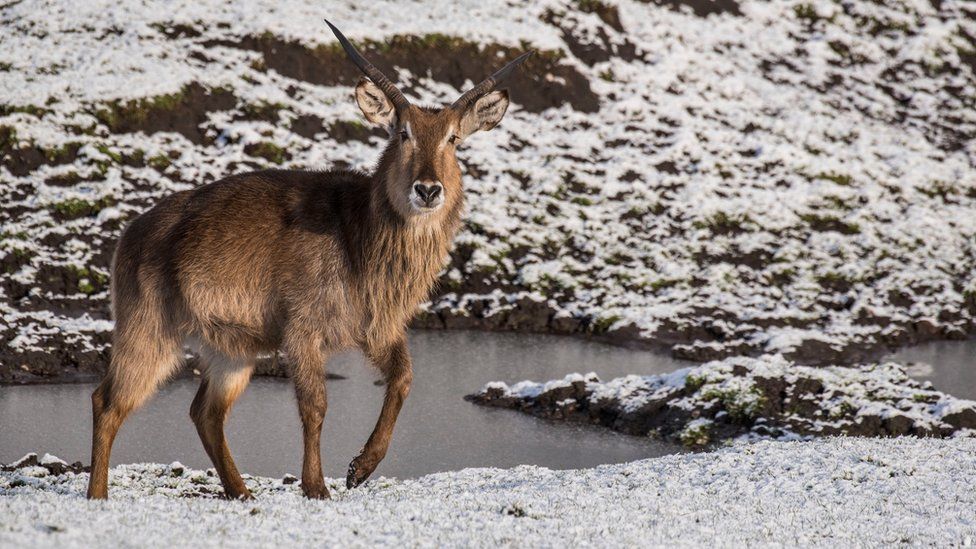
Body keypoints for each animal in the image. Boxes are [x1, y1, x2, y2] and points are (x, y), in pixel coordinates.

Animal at [88, 21, 532, 498]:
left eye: (453, 138)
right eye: (403, 133)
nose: (429, 189)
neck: (358, 238)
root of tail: (131, 232)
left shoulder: (378, 326)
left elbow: (404, 379)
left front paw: (361, 468)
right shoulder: (303, 328)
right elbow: (315, 406)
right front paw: (317, 486)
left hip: (232, 349)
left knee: (204, 412)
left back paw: (241, 492)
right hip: (149, 329)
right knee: (107, 401)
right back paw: (98, 495)